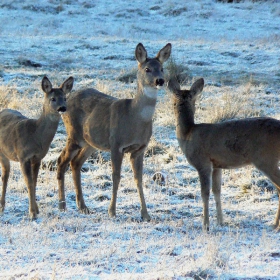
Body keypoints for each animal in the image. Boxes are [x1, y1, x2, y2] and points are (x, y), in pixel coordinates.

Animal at [0, 76, 74, 219]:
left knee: (6, 174)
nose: (62, 108)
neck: (35, 136)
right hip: (2, 153)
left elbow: (34, 182)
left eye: (65, 98)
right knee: (5, 175)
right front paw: (32, 213)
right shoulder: (23, 157)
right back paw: (1, 206)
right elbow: (29, 183)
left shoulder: (38, 158)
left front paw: (37, 209)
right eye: (53, 98)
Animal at [56, 42, 171, 221]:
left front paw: (145, 214)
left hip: (90, 142)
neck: (134, 117)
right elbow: (116, 176)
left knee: (76, 163)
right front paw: (112, 211)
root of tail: (66, 101)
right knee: (61, 161)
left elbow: (138, 179)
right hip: (74, 134)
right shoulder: (116, 144)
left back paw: (83, 207)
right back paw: (62, 206)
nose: (160, 80)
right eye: (147, 69)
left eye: (162, 68)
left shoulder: (140, 149)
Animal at [167, 76, 280, 232]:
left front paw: (206, 225)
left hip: (266, 159)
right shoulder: (217, 165)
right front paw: (220, 222)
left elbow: (205, 192)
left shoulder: (203, 163)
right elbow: (217, 191)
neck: (188, 133)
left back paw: (275, 225)